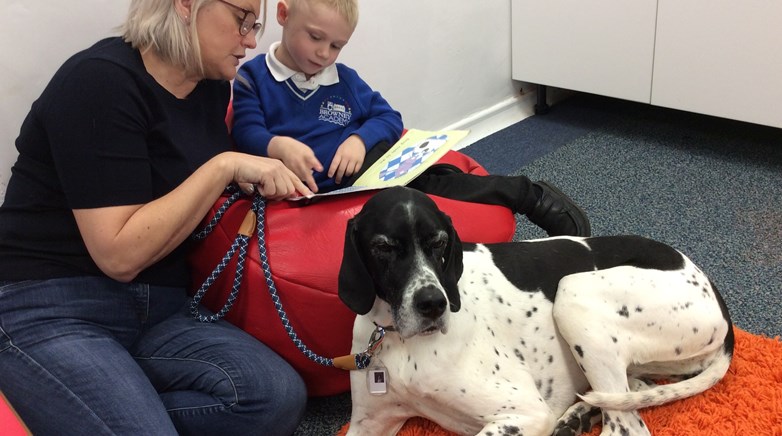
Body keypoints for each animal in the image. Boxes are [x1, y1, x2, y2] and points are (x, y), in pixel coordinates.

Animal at [342, 187, 736, 436]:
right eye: (383, 248)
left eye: (439, 243)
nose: (433, 305)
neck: (398, 339)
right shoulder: (368, 424)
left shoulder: (524, 412)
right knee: (634, 390)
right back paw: (578, 416)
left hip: (573, 293)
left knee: (626, 427)